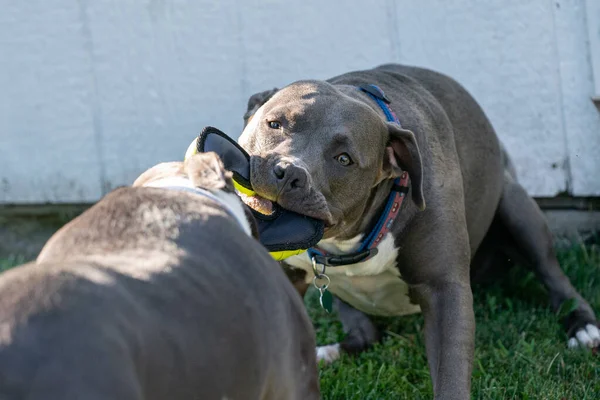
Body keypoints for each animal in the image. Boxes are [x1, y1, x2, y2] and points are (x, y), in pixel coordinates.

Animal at [238, 63, 596, 400]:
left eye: (344, 159)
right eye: (274, 124)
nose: (288, 172)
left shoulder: (444, 288)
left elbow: (451, 373)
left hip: (516, 207)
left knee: (553, 275)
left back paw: (584, 327)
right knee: (366, 335)